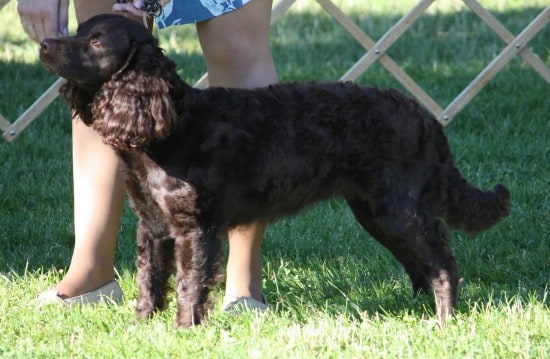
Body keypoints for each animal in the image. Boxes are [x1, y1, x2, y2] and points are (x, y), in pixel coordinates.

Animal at [40, 14, 512, 330]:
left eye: (97, 41)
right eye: (77, 29)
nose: (44, 43)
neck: (172, 126)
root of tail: (427, 119)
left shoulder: (196, 227)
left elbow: (190, 283)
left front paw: (184, 330)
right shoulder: (152, 225)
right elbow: (149, 279)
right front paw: (141, 325)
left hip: (399, 210)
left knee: (443, 263)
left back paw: (445, 320)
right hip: (377, 214)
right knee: (422, 263)